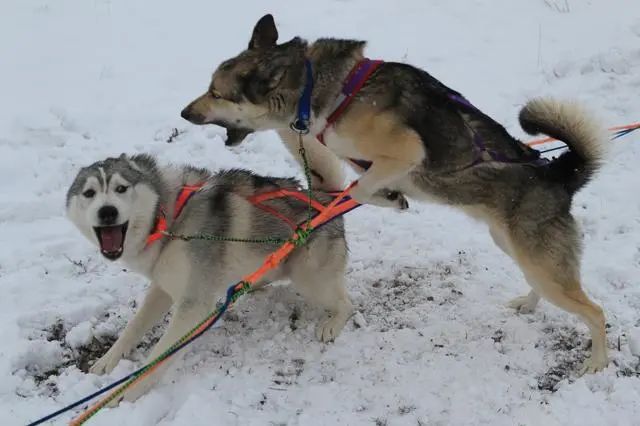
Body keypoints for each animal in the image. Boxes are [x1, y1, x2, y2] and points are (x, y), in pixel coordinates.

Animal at [67, 154, 352, 402]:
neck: (168, 219)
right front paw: (109, 359)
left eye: (121, 188)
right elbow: (134, 327)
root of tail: (327, 199)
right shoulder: (163, 286)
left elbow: (158, 356)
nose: (107, 212)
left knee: (347, 303)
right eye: (89, 193)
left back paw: (332, 323)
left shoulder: (193, 305)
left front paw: (126, 391)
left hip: (310, 279)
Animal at [181, 14, 608, 372]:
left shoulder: (405, 152)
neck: (321, 91)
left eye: (216, 93)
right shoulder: (358, 158)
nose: (185, 112)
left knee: (596, 312)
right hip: (518, 250)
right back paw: (527, 304)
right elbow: (355, 184)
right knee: (546, 286)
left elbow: (361, 190)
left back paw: (598, 362)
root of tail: (557, 174)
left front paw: (388, 198)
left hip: (541, 264)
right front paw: (387, 196)